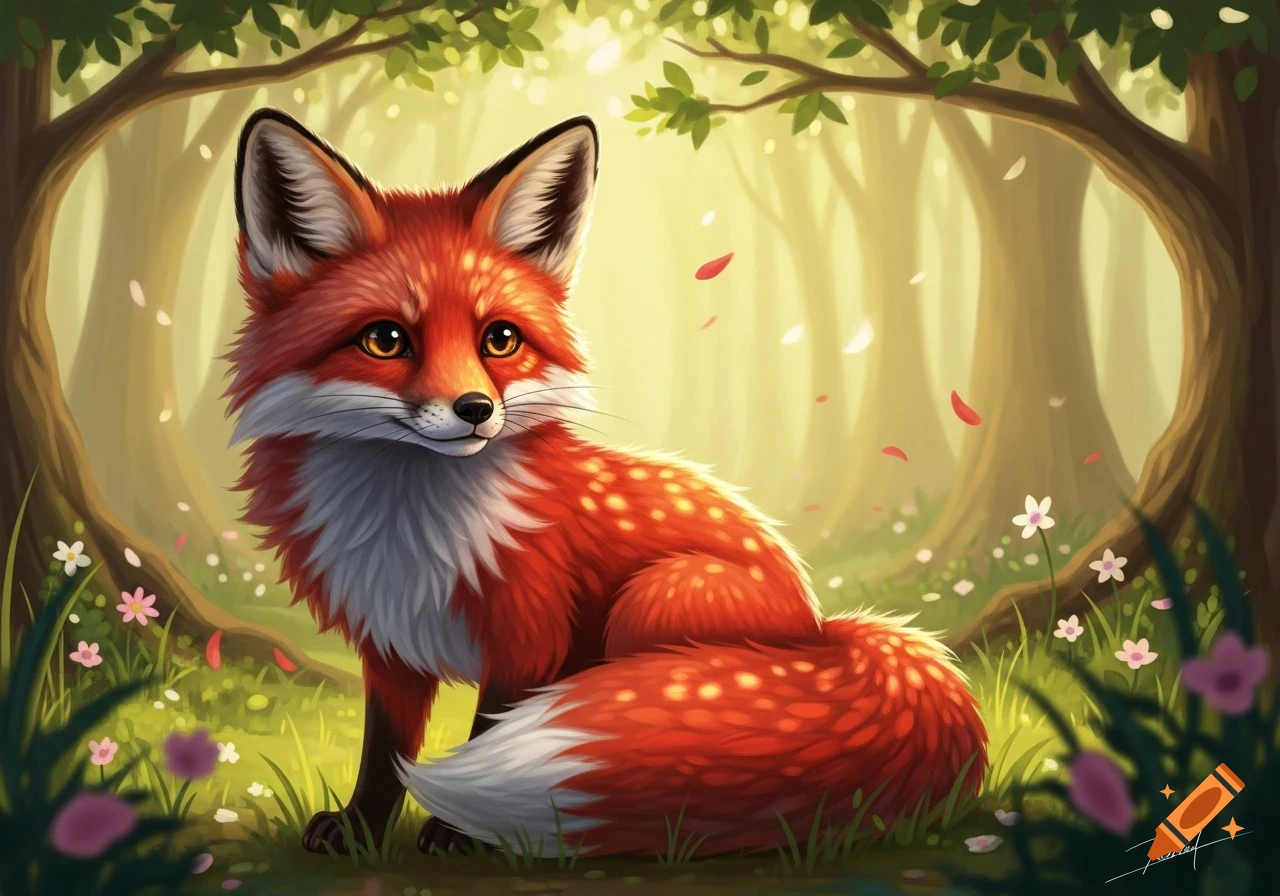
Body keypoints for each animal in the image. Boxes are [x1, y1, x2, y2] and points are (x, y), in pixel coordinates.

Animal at [226, 107, 988, 857]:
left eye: (499, 340)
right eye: (386, 340)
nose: (476, 410)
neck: (409, 527)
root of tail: (824, 627)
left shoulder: (529, 636)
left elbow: (487, 726)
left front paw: (462, 833)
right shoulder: (389, 644)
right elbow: (383, 753)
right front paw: (360, 830)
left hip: (656, 599)